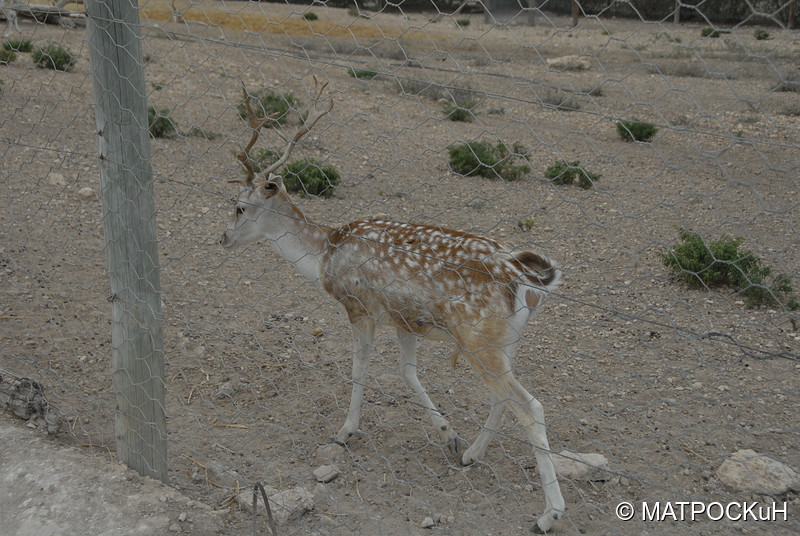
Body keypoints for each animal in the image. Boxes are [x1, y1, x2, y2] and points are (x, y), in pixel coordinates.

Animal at [219, 79, 564, 532]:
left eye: (239, 206)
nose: (222, 237)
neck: (323, 257)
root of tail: (526, 280)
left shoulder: (359, 308)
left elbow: (360, 369)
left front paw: (344, 431)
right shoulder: (404, 321)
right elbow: (407, 373)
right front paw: (448, 434)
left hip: (479, 340)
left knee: (531, 406)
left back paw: (548, 514)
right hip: (504, 343)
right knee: (504, 398)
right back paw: (472, 454)